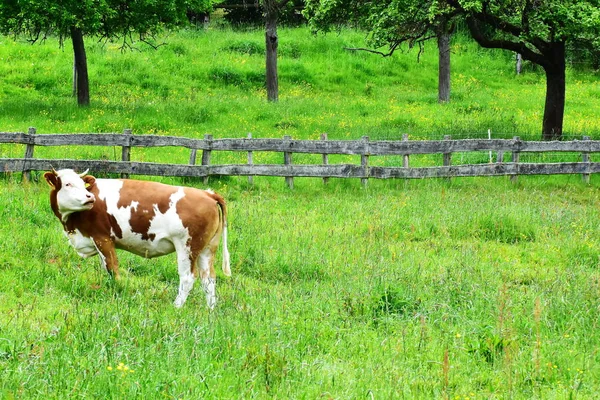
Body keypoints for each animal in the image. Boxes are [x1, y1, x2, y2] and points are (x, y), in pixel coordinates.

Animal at [43, 167, 231, 308]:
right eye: (68, 184)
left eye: (83, 184)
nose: (90, 197)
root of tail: (208, 194)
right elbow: (105, 269)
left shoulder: (103, 238)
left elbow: (113, 269)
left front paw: (117, 292)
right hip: (207, 249)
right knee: (208, 279)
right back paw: (210, 311)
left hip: (187, 247)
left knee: (188, 277)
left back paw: (176, 306)